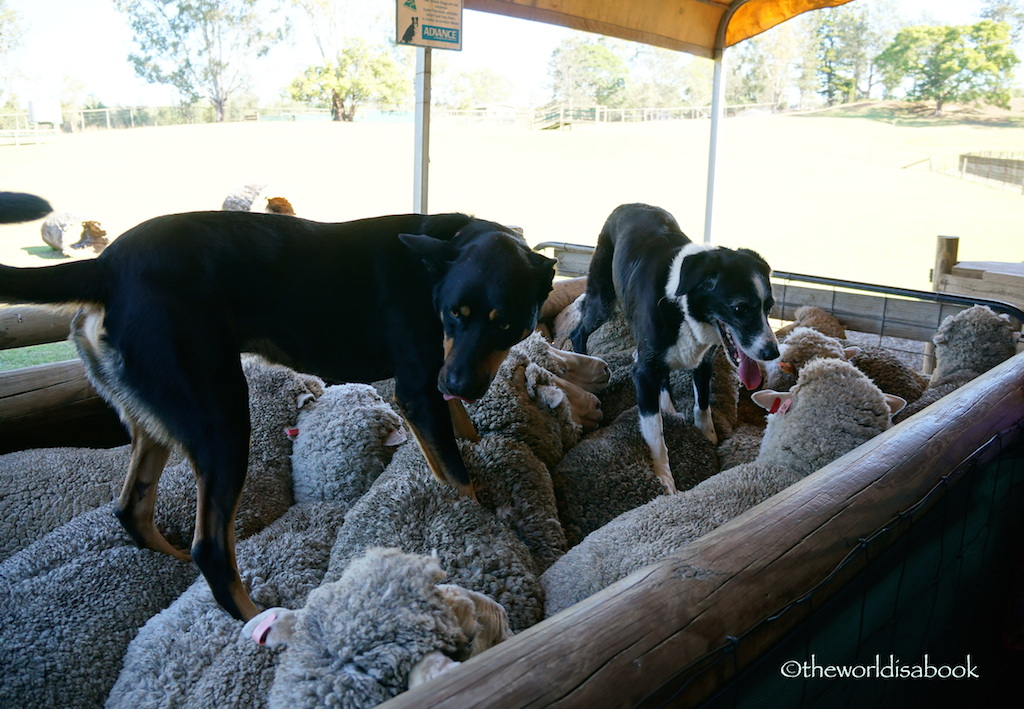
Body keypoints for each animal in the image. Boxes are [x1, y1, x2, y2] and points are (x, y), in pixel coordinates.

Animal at [0, 207, 552, 618]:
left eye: (507, 324)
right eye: (454, 314)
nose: (459, 384)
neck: (437, 262)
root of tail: (105, 265)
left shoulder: (439, 383)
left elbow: (464, 437)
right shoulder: (419, 389)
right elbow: (459, 479)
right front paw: (481, 527)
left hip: (159, 418)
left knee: (132, 510)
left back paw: (175, 562)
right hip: (221, 416)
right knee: (211, 548)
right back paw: (258, 618)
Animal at [569, 203, 774, 493]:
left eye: (769, 307)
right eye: (740, 308)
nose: (773, 353)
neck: (684, 305)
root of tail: (628, 205)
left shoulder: (703, 361)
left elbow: (702, 403)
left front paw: (707, 435)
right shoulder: (643, 374)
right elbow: (655, 432)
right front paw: (665, 479)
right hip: (602, 300)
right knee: (578, 332)